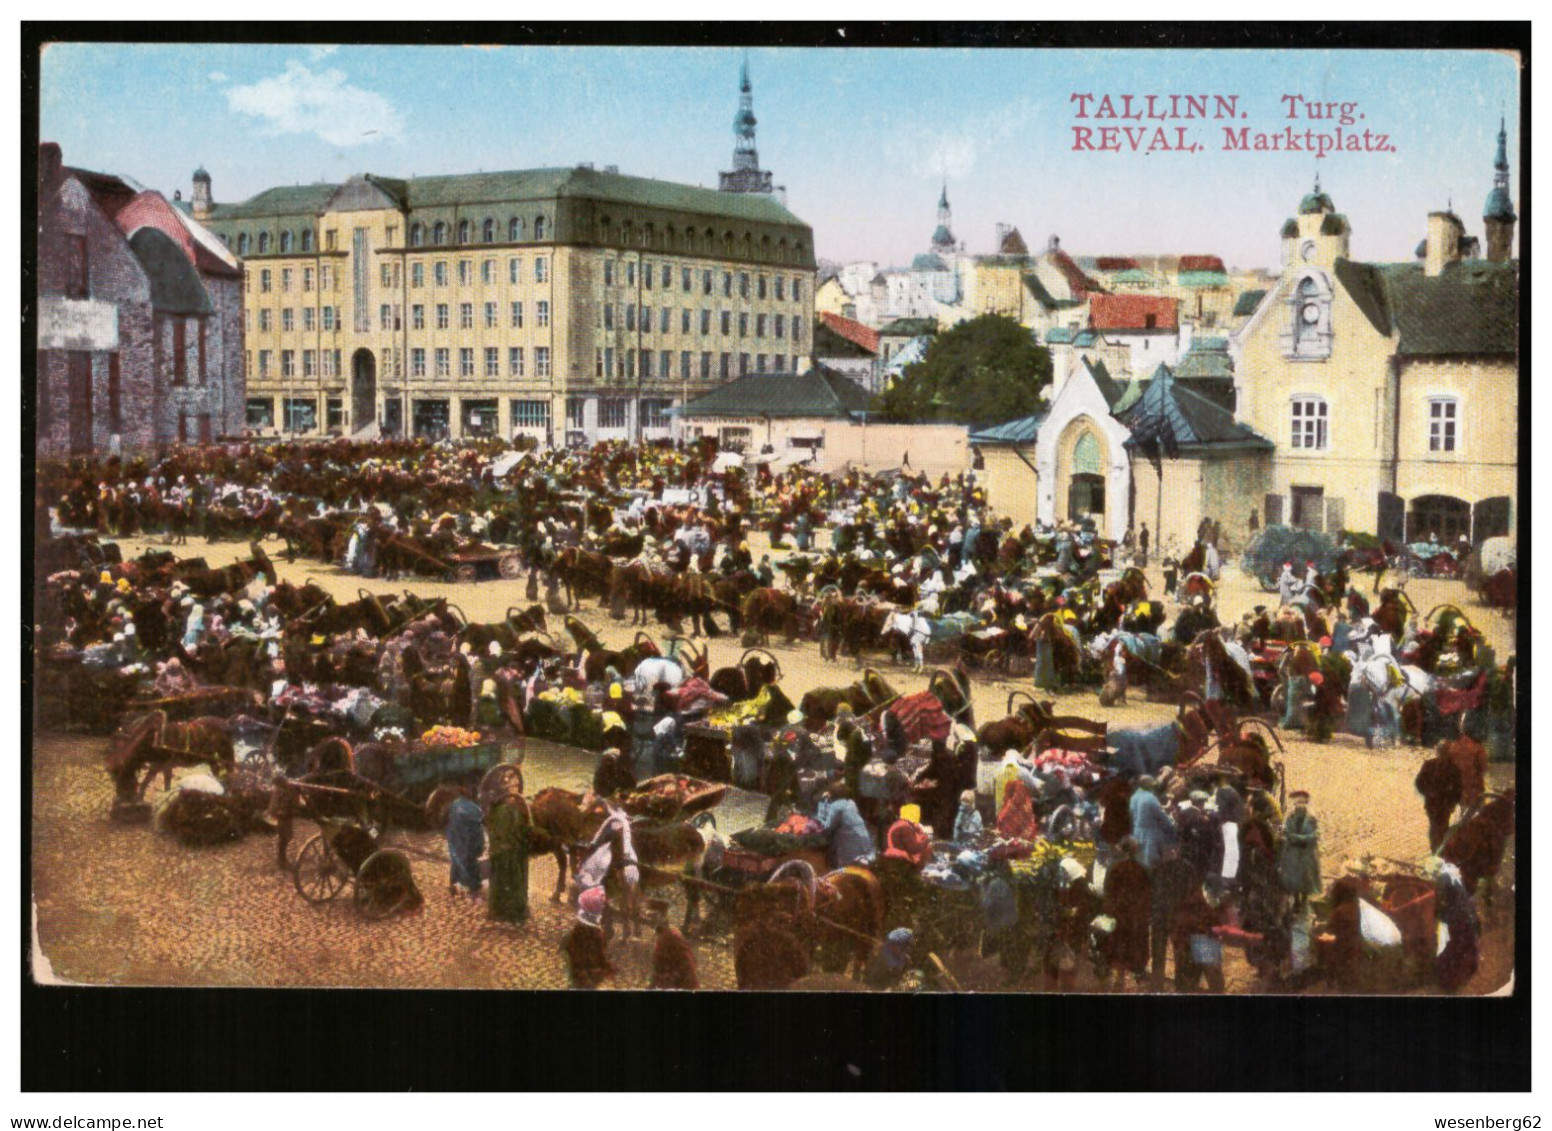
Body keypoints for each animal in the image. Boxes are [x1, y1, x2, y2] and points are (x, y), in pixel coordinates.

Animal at [106, 707, 234, 800]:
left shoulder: (163, 764)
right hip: (213, 758)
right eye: (113, 772)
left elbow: (160, 783)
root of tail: (227, 723)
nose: (120, 794)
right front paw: (140, 798)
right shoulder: (158, 766)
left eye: (121, 769)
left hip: (224, 754)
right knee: (217, 769)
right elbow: (150, 782)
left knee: (227, 768)